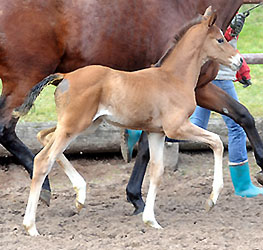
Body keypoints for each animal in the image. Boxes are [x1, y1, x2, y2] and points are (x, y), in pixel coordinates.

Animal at [0, 0, 262, 207]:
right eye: (220, 39)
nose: (240, 62)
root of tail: (65, 77)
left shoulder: (201, 89)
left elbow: (242, 115)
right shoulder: (180, 107)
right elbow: (148, 148)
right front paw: (136, 197)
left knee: (41, 138)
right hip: (25, 82)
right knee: (9, 132)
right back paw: (45, 187)